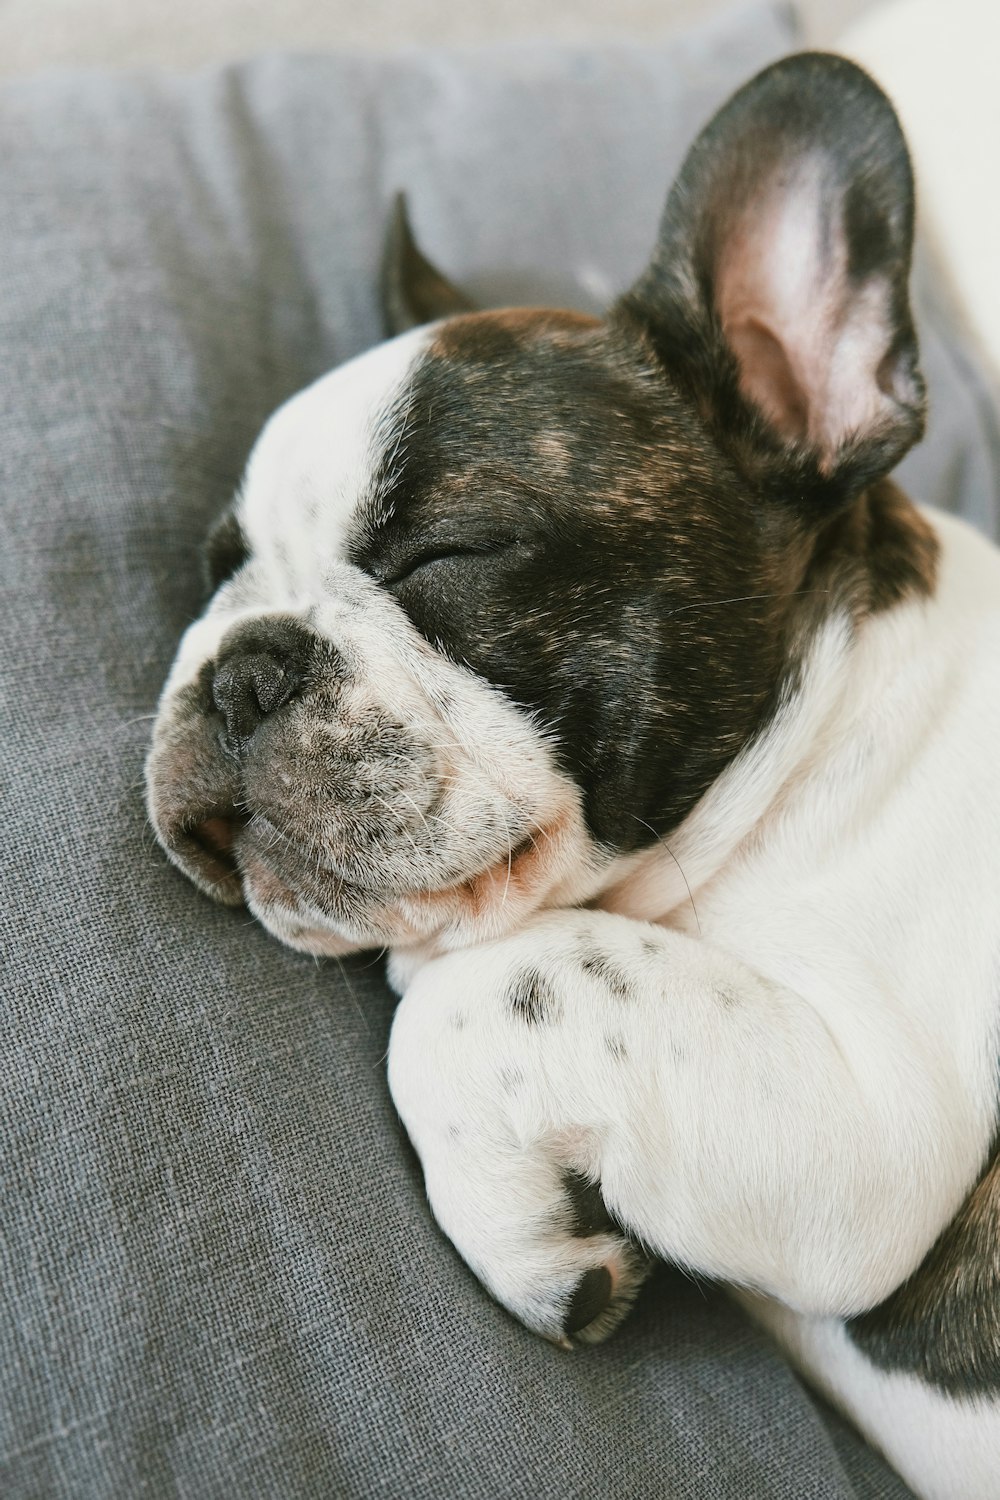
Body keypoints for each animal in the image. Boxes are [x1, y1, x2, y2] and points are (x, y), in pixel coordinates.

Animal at [146, 52, 1000, 1500]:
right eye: (223, 573)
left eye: (449, 554)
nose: (242, 662)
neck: (819, 730)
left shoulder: (879, 1115)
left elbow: (482, 990)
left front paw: (519, 1236)